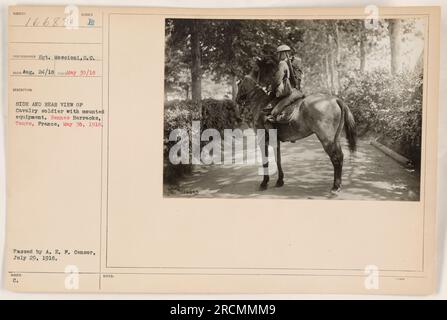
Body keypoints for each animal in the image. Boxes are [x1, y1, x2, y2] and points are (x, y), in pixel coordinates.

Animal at [236, 57, 358, 192]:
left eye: (239, 85)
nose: (237, 100)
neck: (260, 103)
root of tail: (336, 99)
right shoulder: (275, 140)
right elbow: (278, 159)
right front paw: (280, 180)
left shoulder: (262, 139)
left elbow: (266, 161)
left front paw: (264, 182)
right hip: (335, 139)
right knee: (340, 157)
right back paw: (338, 184)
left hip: (326, 139)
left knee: (336, 158)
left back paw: (335, 186)